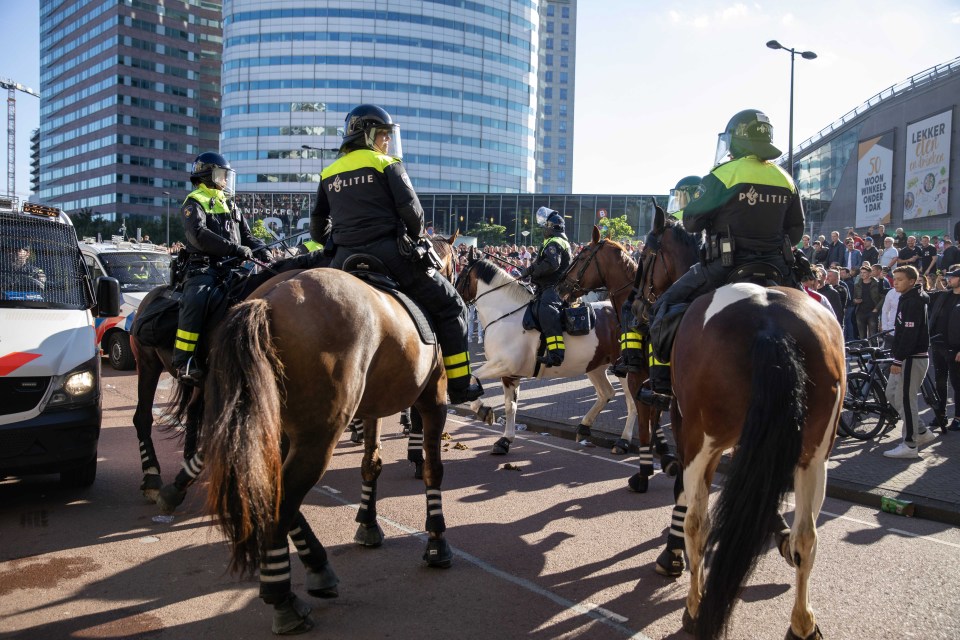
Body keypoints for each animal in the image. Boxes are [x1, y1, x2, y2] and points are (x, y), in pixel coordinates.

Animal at [200, 268, 454, 632]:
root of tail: (269, 300)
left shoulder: (373, 406)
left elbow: (371, 462)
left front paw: (368, 524)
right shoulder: (434, 396)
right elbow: (434, 469)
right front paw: (436, 539)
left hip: (277, 430)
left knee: (271, 492)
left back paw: (316, 568)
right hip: (319, 435)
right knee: (281, 501)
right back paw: (284, 598)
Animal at [556, 228, 676, 492]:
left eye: (582, 255)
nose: (561, 286)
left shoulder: (641, 375)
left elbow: (646, 413)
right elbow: (652, 413)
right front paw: (663, 454)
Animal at [640, 209, 844, 640]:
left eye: (647, 255)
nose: (637, 301)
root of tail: (771, 327)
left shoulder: (686, 427)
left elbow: (686, 498)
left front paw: (671, 556)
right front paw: (777, 535)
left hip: (702, 440)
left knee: (699, 524)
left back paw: (695, 609)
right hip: (815, 455)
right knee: (807, 534)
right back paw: (802, 622)